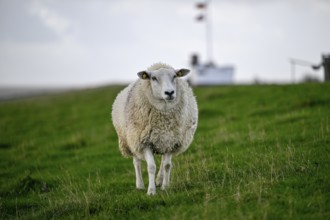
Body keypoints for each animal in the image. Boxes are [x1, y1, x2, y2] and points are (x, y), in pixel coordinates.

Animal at [112, 62, 197, 195]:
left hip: (162, 141)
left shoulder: (171, 141)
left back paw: (159, 180)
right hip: (131, 140)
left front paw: (165, 187)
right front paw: (151, 191)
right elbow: (151, 166)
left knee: (162, 162)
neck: (163, 121)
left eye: (175, 76)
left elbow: (167, 165)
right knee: (136, 162)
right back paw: (140, 185)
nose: (169, 92)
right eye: (153, 78)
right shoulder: (144, 142)